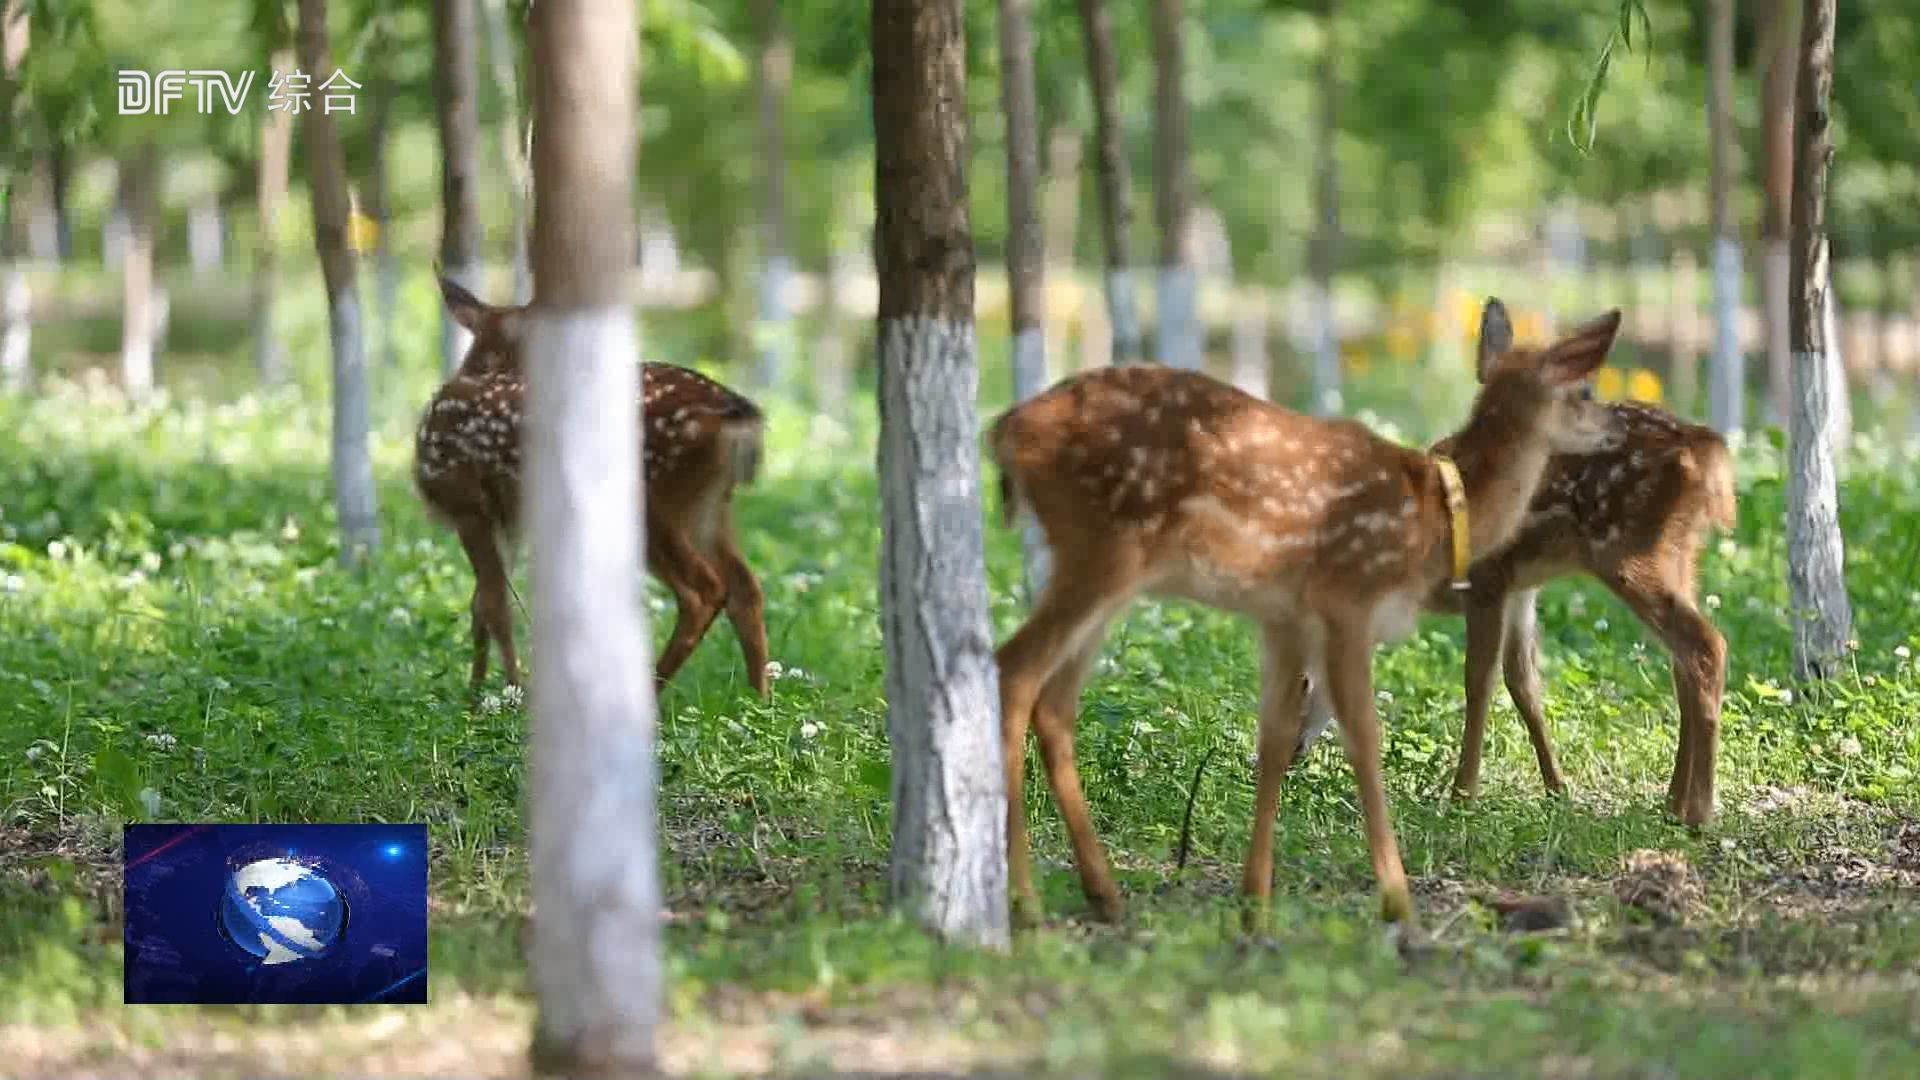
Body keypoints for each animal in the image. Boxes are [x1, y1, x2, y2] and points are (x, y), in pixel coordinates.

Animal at [414, 276, 771, 691]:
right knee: (745, 586)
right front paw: (477, 692)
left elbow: (493, 604)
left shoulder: (467, 504)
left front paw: (504, 692)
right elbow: (481, 604)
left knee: (703, 591)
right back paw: (759, 700)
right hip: (711, 507)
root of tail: (737, 415)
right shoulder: (508, 521)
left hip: (654, 503)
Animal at [998, 295, 1628, 926]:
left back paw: (1102, 893)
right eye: (1585, 390)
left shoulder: (1284, 618)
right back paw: (1025, 901)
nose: (1620, 427)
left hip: (1096, 573)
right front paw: (1396, 899)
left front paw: (1255, 900)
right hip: (1099, 550)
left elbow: (1275, 738)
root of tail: (1004, 431)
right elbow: (1364, 736)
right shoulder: (1349, 598)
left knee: (1055, 703)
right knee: (1014, 670)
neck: (1436, 515)